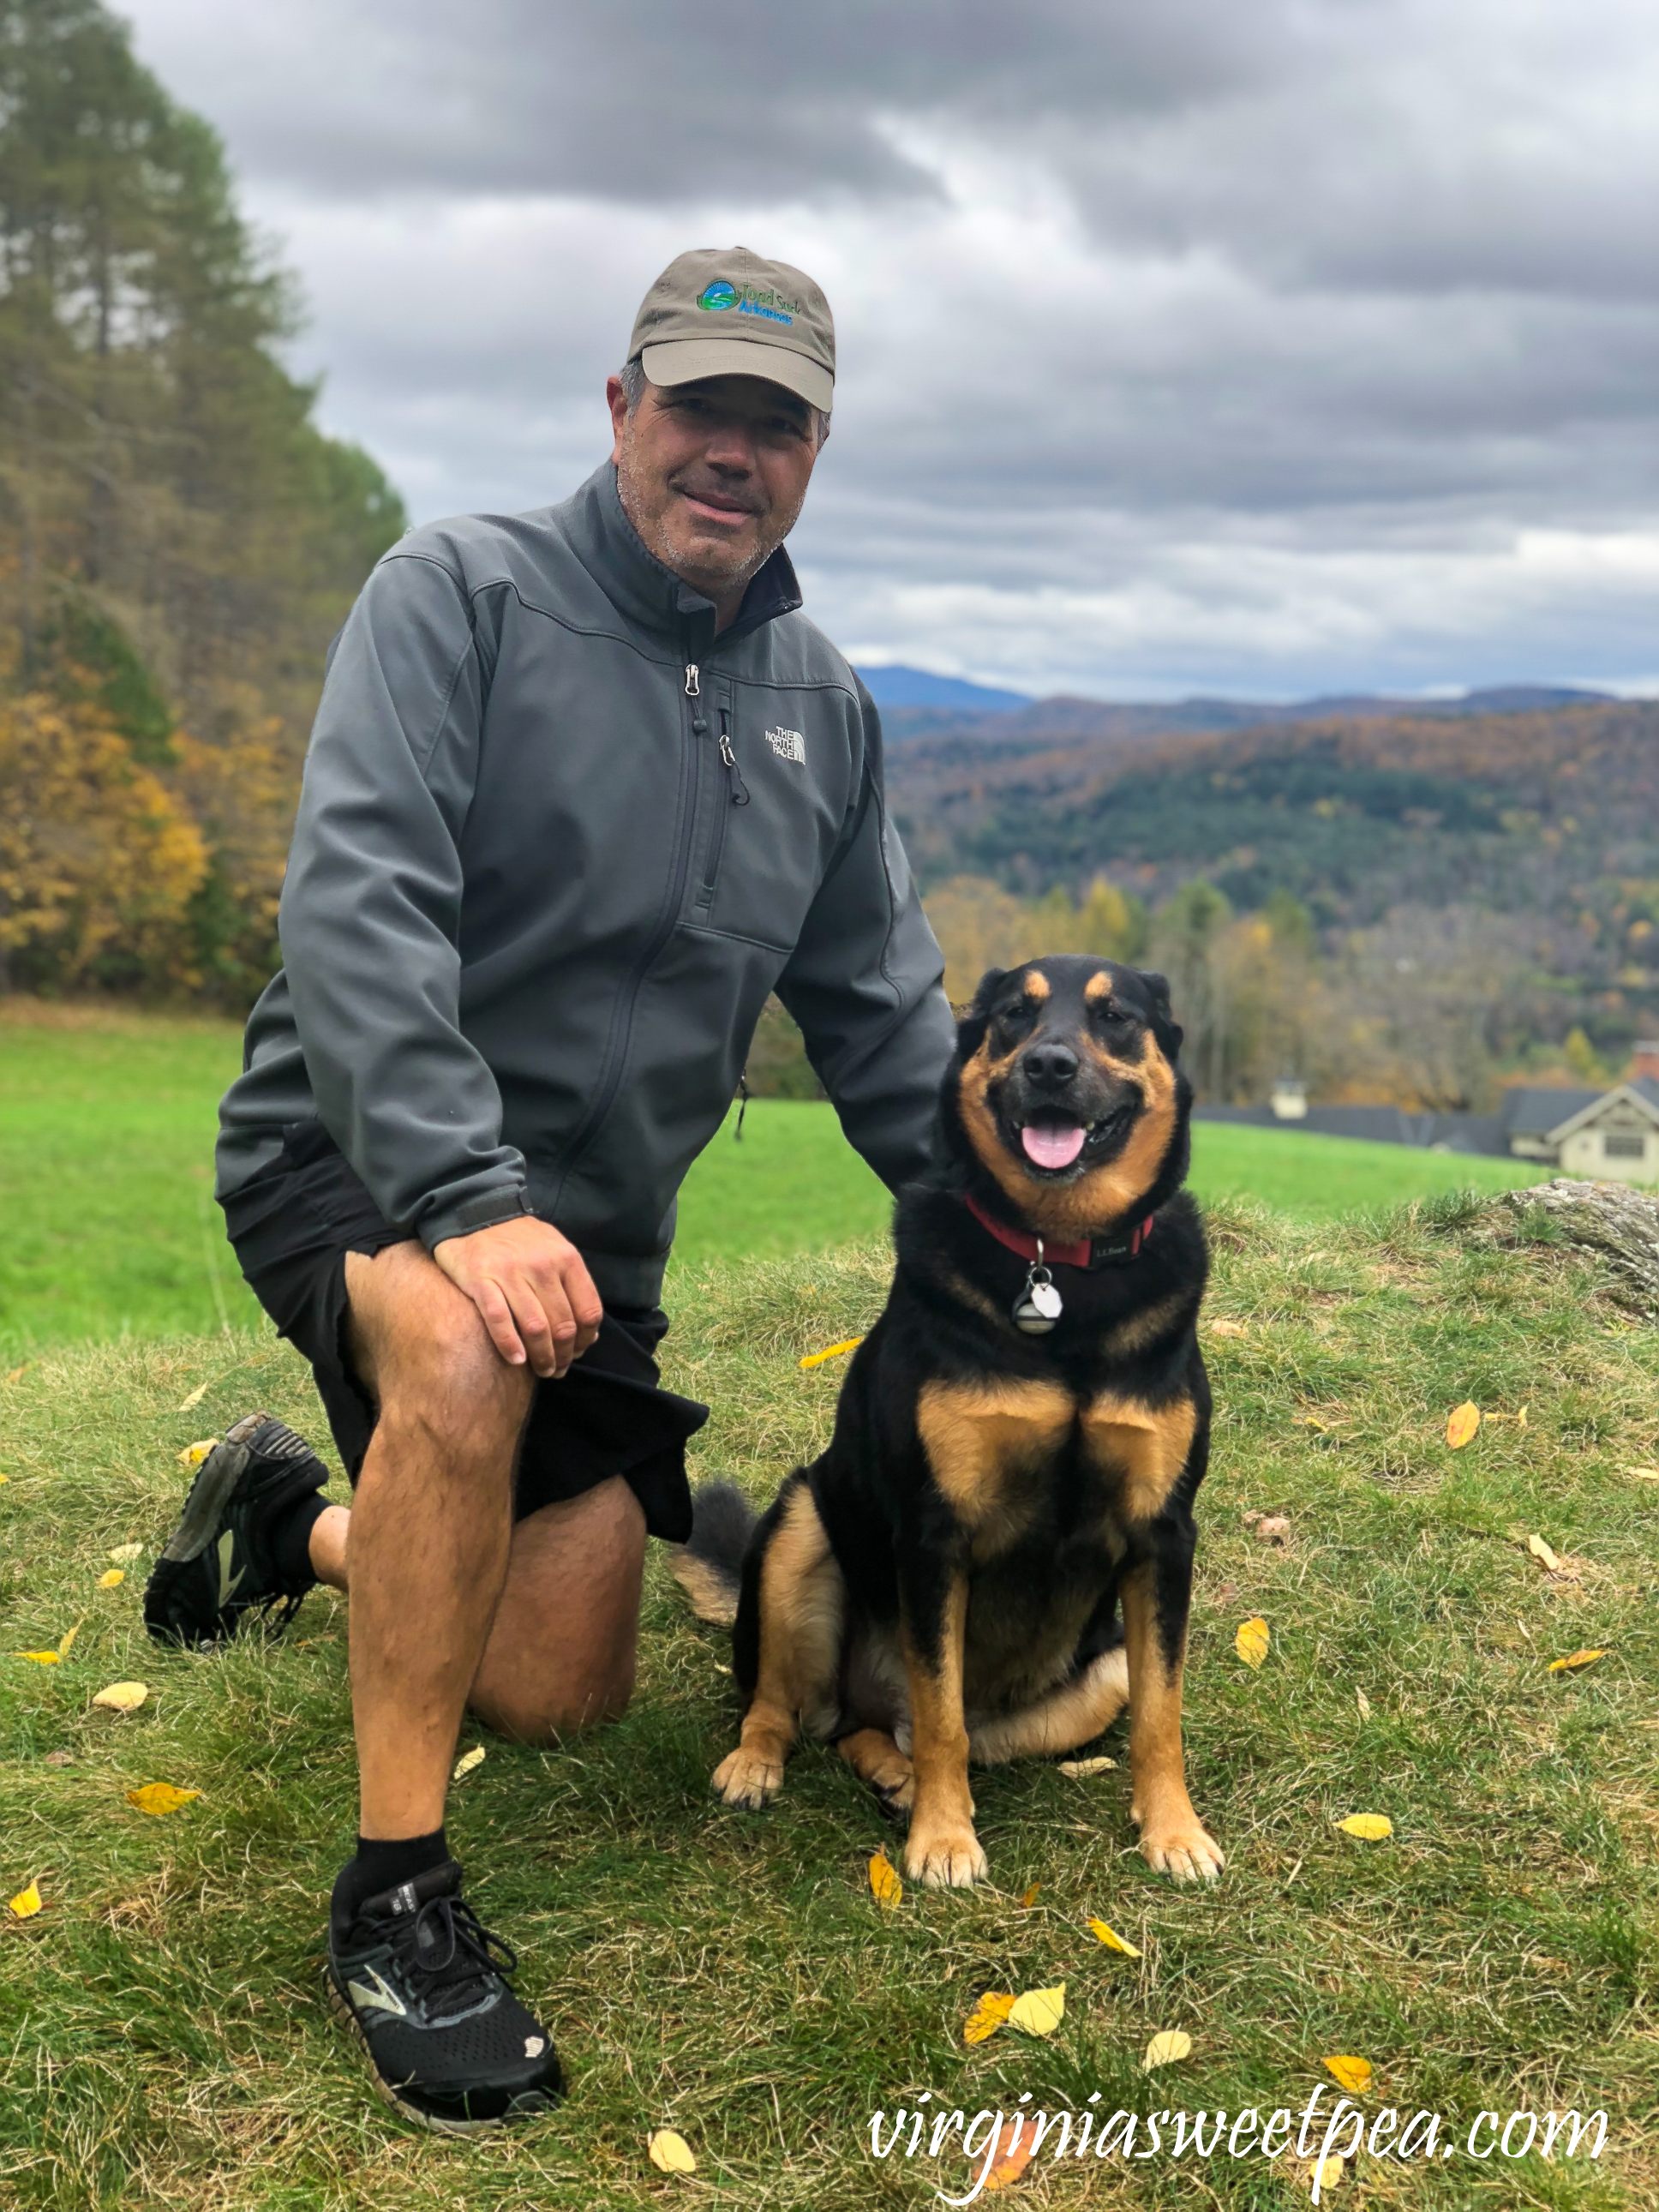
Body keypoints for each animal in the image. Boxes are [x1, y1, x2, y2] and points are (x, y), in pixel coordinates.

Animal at [668, 950, 1230, 1885]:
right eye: (1011, 1016)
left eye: (1114, 1016)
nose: (1049, 1066)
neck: (1059, 1263)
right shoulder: (937, 1533)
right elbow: (939, 1717)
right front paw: (942, 1840)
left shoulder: (1162, 1536)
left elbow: (1163, 1712)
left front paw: (1174, 1830)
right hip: (798, 1531)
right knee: (800, 1708)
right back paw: (762, 1765)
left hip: (1099, 1669)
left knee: (913, 1732)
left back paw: (895, 1777)